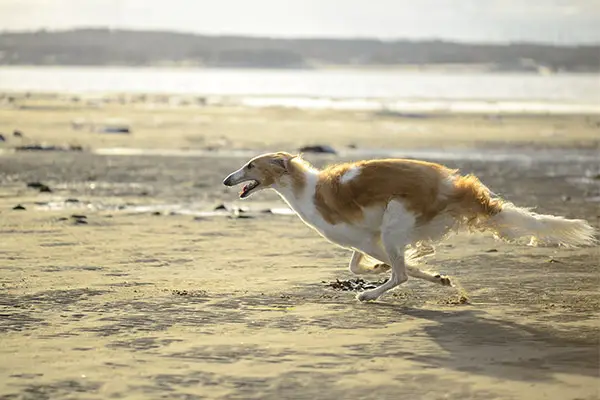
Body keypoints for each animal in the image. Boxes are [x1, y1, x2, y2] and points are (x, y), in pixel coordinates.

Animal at [224, 152, 596, 302]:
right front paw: (439, 278)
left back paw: (369, 295)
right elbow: (363, 264)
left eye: (250, 165)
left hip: (394, 222)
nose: (227, 179)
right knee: (401, 268)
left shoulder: (370, 238)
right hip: (394, 227)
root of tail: (453, 185)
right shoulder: (367, 238)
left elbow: (394, 267)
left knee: (399, 275)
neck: (305, 188)